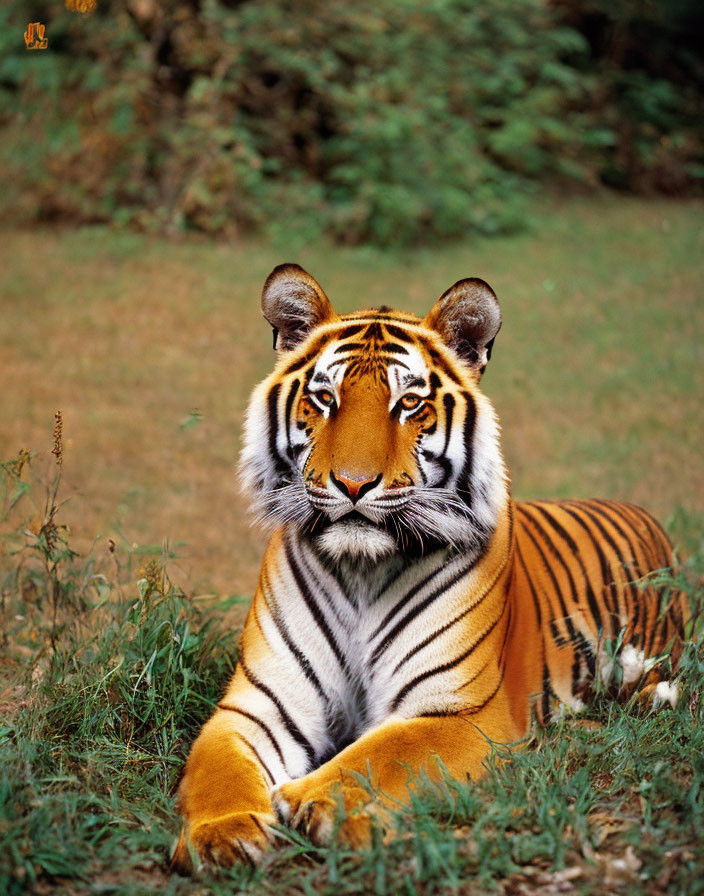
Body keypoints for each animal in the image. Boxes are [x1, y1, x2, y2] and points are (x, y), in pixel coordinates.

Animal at [170, 264, 688, 868]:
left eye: (409, 403)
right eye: (324, 398)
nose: (352, 484)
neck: (361, 568)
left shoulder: (462, 713)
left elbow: (382, 754)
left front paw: (313, 802)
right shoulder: (259, 704)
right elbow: (218, 768)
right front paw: (223, 833)